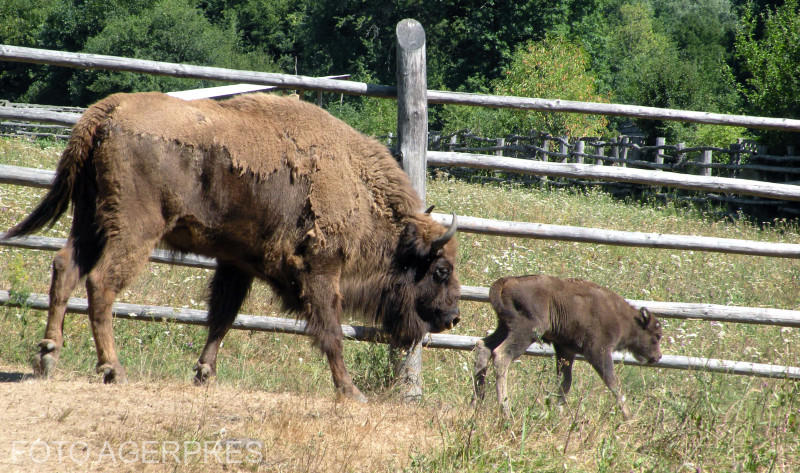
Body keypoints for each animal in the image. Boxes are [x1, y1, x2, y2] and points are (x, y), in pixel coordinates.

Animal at [1, 90, 462, 400]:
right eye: (440, 270)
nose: (453, 316)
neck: (353, 181)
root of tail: (106, 112)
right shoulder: (320, 271)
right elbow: (331, 332)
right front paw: (351, 392)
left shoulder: (236, 265)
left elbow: (222, 317)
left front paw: (204, 373)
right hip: (132, 230)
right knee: (100, 283)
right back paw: (113, 369)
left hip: (88, 222)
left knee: (65, 268)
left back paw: (48, 355)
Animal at [476, 274, 664, 418]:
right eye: (656, 336)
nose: (658, 356)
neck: (623, 317)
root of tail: (508, 281)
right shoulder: (599, 352)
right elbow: (613, 383)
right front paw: (628, 416)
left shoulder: (565, 351)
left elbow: (565, 383)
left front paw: (558, 413)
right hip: (527, 332)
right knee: (501, 355)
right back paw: (506, 412)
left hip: (504, 327)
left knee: (483, 347)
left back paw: (476, 403)